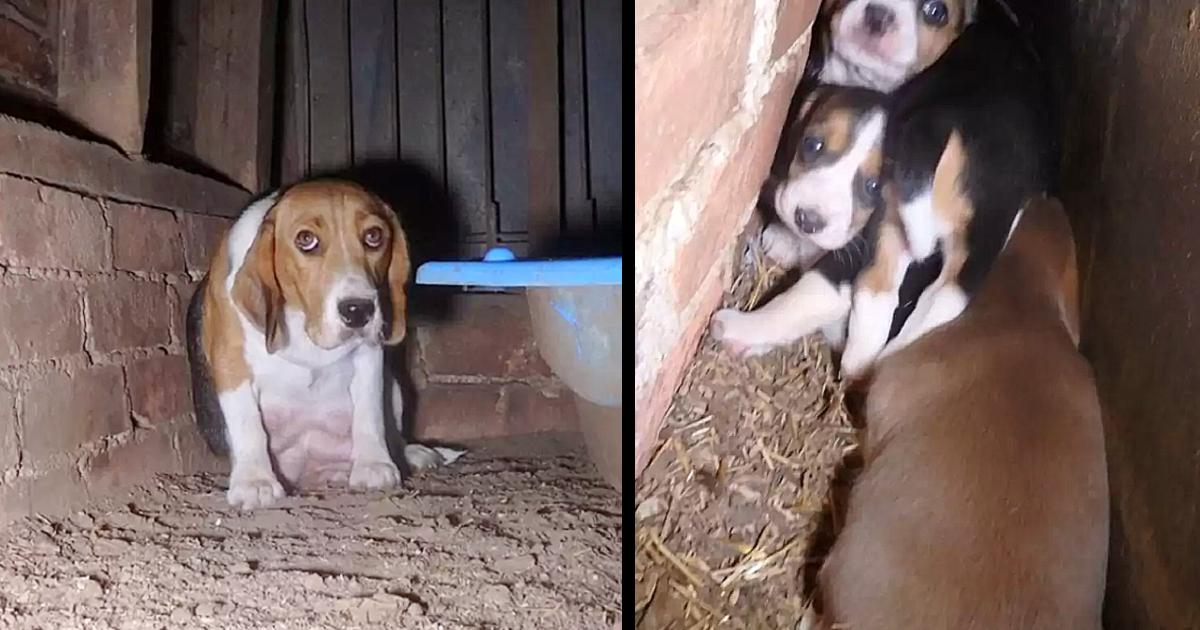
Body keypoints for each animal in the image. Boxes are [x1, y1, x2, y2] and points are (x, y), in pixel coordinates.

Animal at [184, 177, 460, 511]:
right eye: (306, 240)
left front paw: (374, 465)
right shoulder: (231, 363)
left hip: (393, 387)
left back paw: (412, 454)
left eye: (374, 236)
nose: (358, 311)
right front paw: (255, 482)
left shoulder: (369, 358)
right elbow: (248, 425)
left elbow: (369, 414)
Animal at [710, 85, 892, 355]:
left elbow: (796, 302)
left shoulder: (843, 274)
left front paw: (740, 329)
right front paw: (785, 240)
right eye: (813, 144)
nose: (807, 220)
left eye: (873, 186)